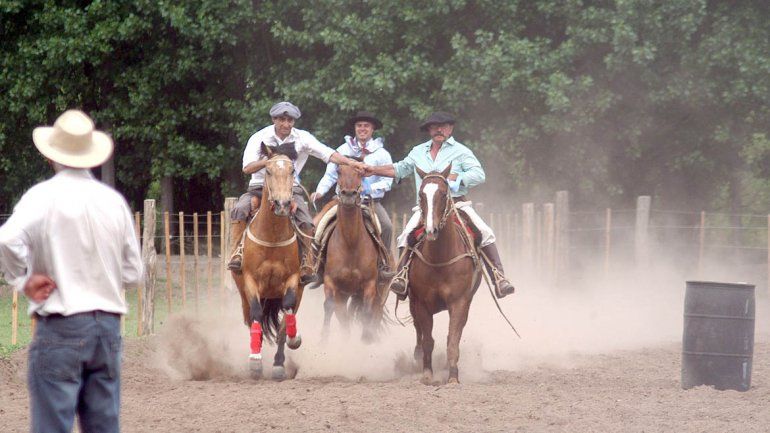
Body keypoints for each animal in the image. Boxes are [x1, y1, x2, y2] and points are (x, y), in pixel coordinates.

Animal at [232, 142, 303, 381]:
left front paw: (293, 340)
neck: (272, 237)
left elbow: (287, 313)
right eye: (268, 171)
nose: (283, 204)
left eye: (292, 170)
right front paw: (255, 362)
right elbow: (256, 314)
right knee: (253, 319)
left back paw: (279, 364)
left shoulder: (293, 279)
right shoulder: (250, 281)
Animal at [319, 162, 387, 342]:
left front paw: (366, 340)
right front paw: (323, 340)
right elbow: (329, 307)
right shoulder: (330, 281)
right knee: (344, 317)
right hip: (344, 295)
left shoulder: (369, 285)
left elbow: (367, 312)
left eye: (361, 172)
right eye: (338, 171)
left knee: (374, 313)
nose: (349, 194)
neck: (351, 244)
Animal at [408, 163, 482, 384]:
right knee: (418, 331)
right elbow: (428, 340)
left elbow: (452, 340)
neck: (439, 261)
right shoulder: (421, 303)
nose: (430, 230)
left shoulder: (459, 302)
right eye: (421, 194)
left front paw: (453, 376)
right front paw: (427, 374)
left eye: (442, 193)